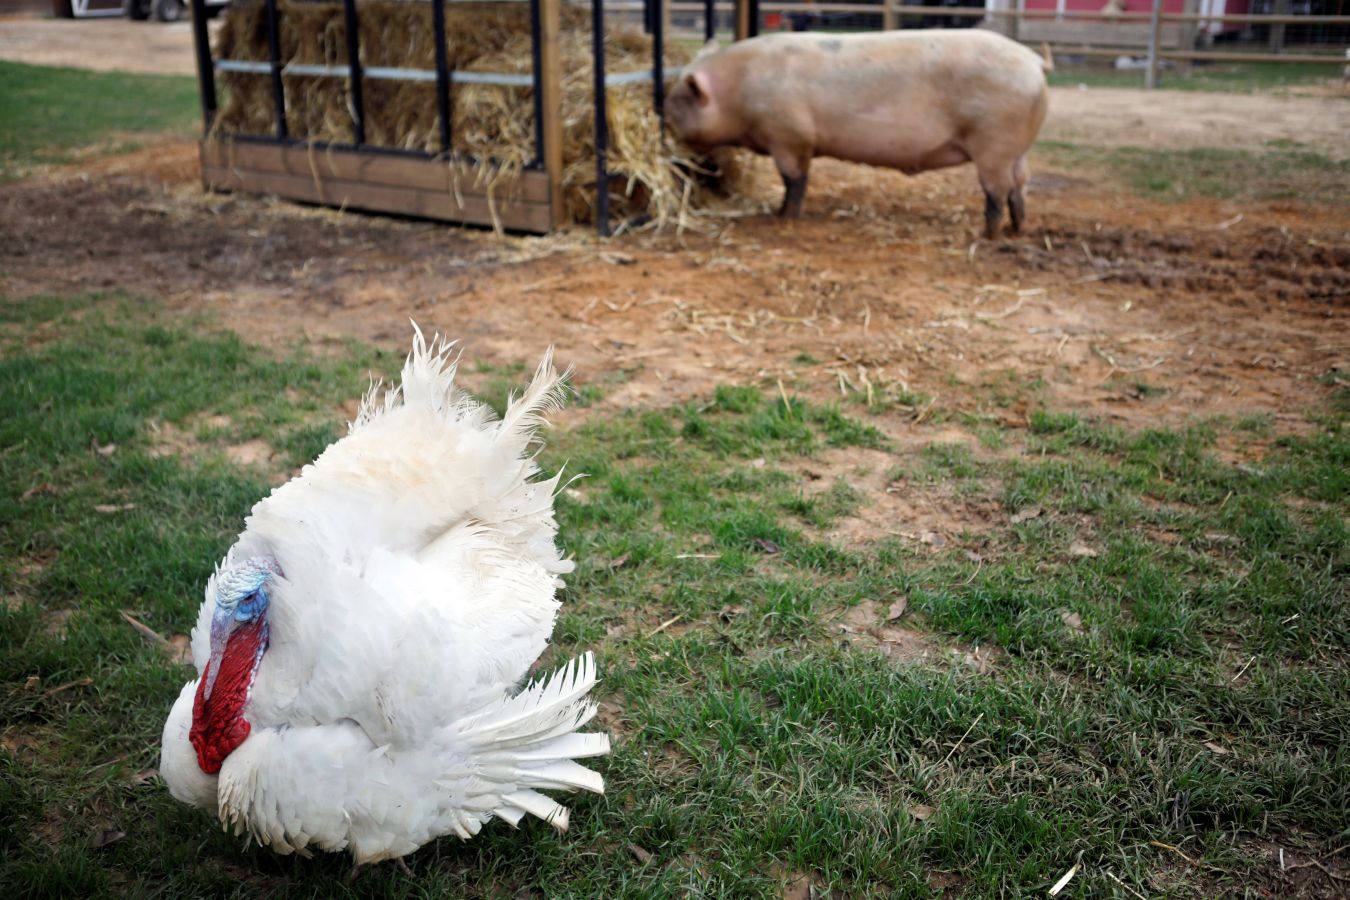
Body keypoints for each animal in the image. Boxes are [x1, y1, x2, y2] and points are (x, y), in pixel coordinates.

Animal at [664, 31, 1053, 237]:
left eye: (679, 100)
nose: (665, 131)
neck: (739, 91)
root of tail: (1034, 61)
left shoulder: (789, 135)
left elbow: (794, 179)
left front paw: (783, 217)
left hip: (994, 142)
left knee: (997, 191)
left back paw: (987, 234)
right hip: (1017, 150)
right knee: (1020, 185)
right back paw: (1015, 230)